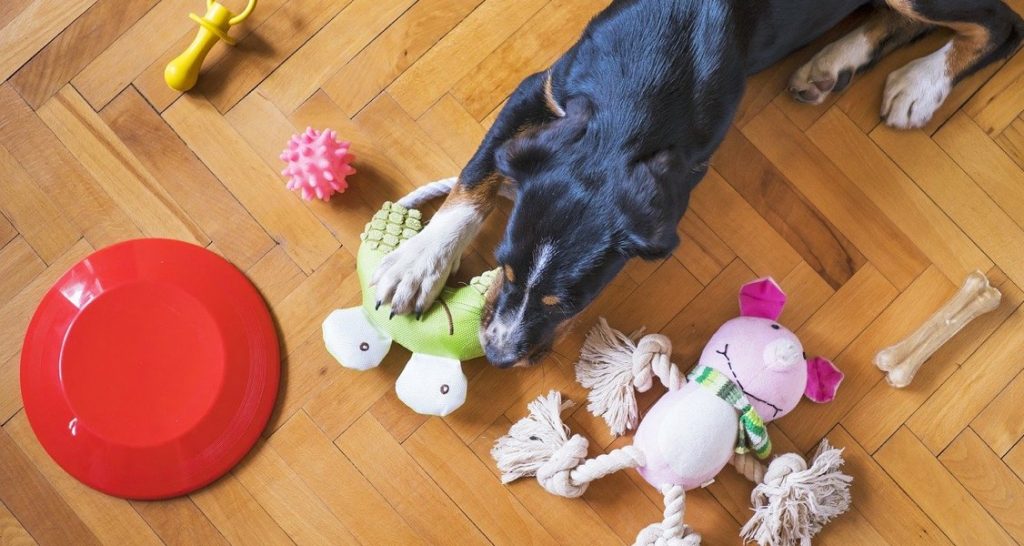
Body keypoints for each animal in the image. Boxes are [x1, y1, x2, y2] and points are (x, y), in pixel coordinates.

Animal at [374, 0, 1024, 368]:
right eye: (503, 269)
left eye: (573, 304)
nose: (498, 355)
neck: (648, 80)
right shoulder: (541, 88)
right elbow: (477, 172)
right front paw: (418, 262)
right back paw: (831, 63)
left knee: (1002, 24)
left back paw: (921, 84)